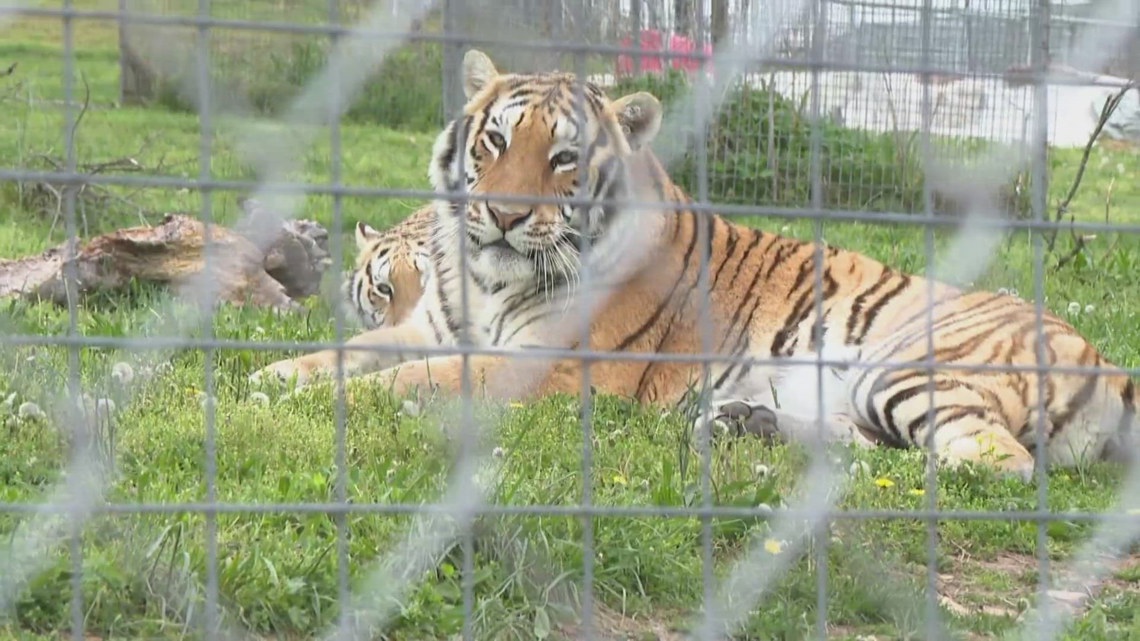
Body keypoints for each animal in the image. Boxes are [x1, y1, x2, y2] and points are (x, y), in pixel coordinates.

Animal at [251, 48, 1137, 480]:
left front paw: (329, 399)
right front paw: (270, 376)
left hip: (909, 365)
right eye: (496, 141)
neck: (487, 278)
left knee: (997, 464)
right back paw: (748, 425)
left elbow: (412, 379)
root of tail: (1107, 359)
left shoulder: (548, 362)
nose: (503, 214)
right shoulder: (428, 326)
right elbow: (351, 350)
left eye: (564, 157)